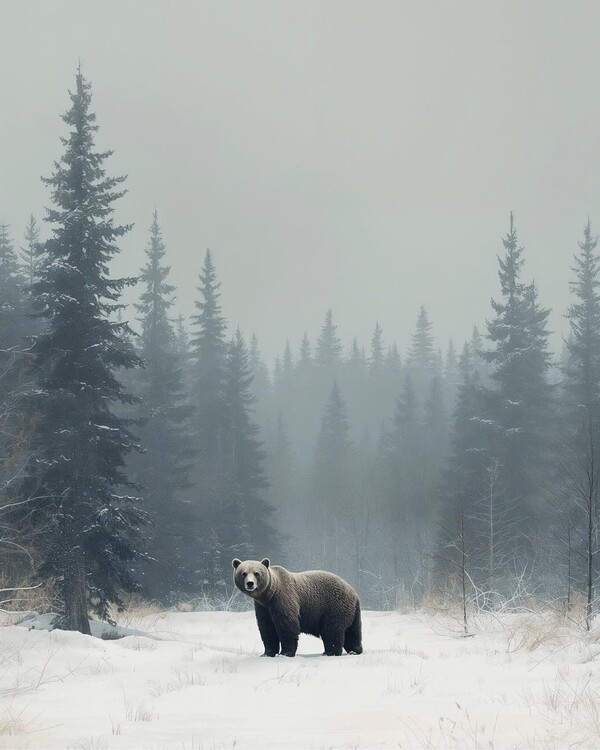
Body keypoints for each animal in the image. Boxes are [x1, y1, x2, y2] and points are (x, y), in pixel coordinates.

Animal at [232, 558, 363, 657]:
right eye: (243, 573)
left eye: (256, 573)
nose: (250, 583)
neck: (268, 595)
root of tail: (354, 593)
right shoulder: (263, 608)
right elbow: (267, 628)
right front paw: (267, 653)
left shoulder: (282, 599)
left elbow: (287, 626)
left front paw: (285, 652)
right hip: (352, 611)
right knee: (353, 631)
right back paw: (354, 650)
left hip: (334, 605)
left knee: (332, 629)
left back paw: (331, 652)